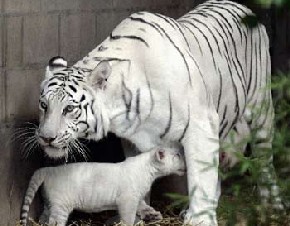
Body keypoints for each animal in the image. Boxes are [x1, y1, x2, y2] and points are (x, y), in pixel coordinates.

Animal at [19, 147, 185, 225]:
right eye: (177, 155)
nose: (186, 162)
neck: (150, 172)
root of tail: (48, 170)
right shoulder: (127, 199)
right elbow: (128, 216)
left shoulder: (136, 197)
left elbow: (144, 206)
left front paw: (154, 214)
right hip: (61, 205)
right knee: (55, 221)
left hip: (50, 202)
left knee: (44, 217)